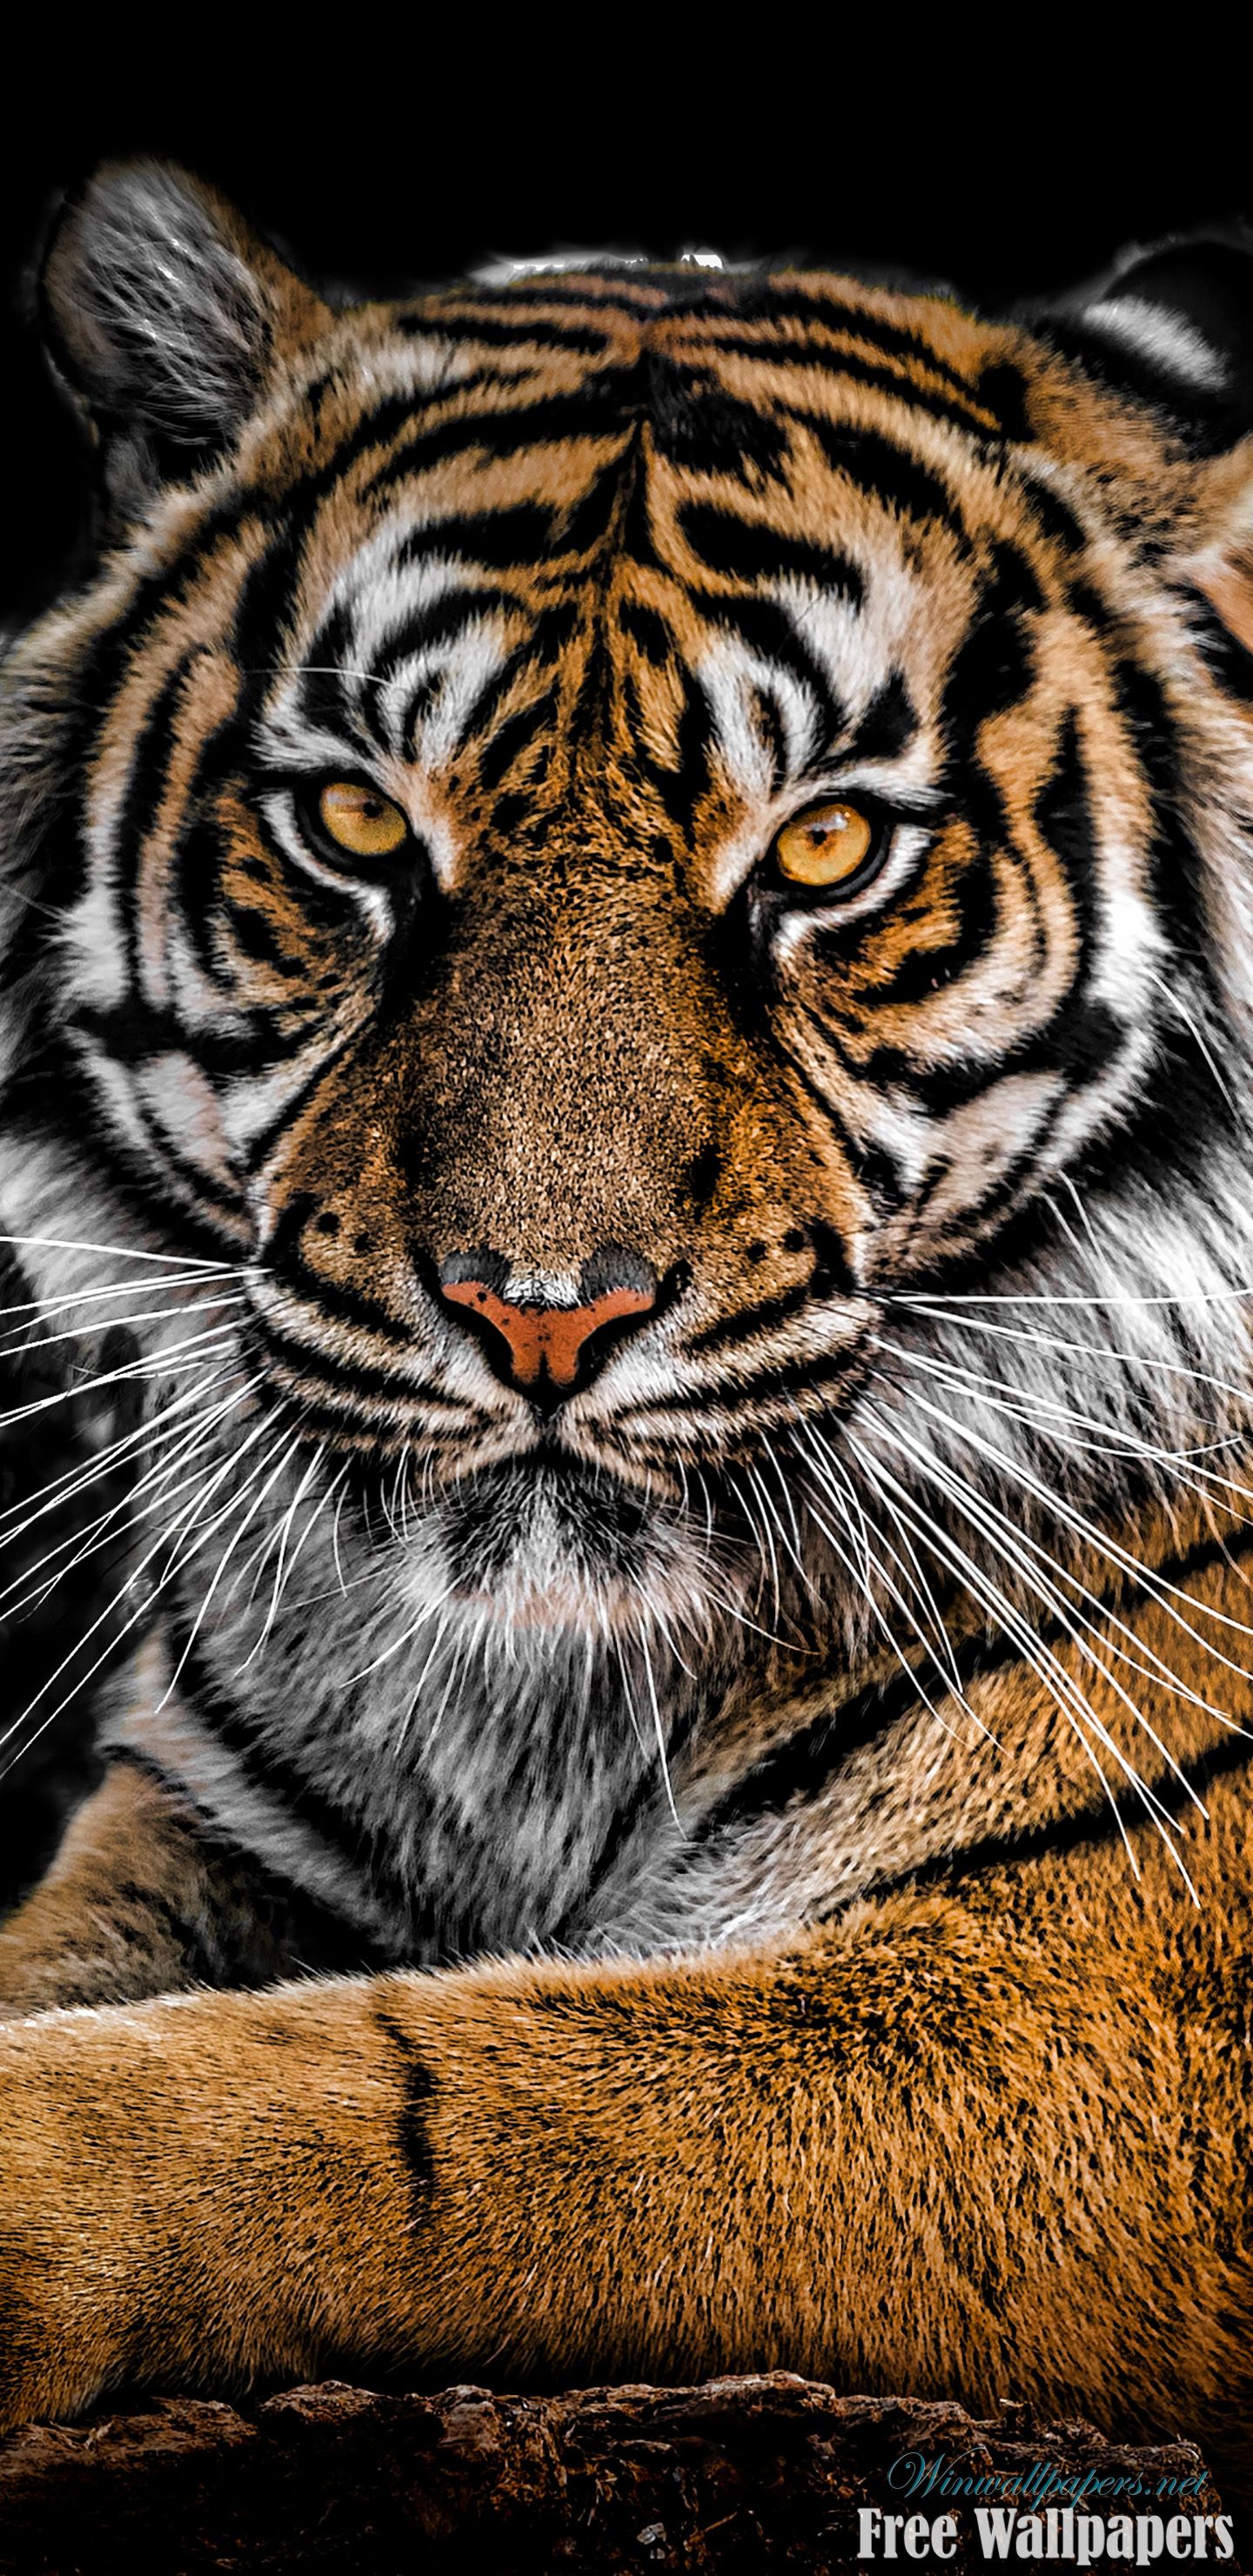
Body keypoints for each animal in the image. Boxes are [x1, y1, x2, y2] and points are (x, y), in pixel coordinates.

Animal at [0, 157, 1252, 2508]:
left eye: (830, 847)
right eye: (357, 820)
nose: (537, 1312)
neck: (545, 1705)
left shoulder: (1121, 1996)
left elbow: (414, 2097)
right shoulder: (210, 1825)